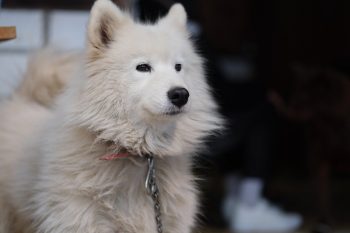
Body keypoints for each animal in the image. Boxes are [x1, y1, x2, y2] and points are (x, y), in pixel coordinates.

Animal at [0, 0, 223, 233]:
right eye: (143, 67)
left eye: (178, 67)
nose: (181, 94)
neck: (139, 153)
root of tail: (20, 98)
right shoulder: (79, 218)